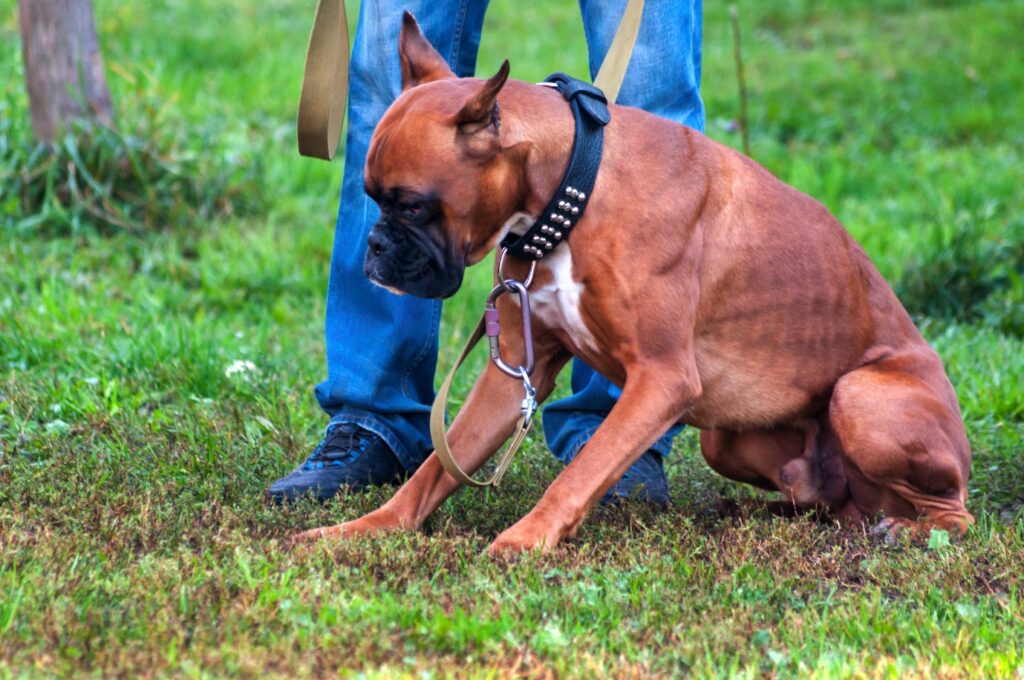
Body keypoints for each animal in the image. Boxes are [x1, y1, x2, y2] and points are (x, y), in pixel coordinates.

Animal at [292, 11, 970, 553]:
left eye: (412, 205)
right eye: (370, 199)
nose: (375, 250)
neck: (573, 190)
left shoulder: (661, 379)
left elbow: (581, 472)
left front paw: (525, 540)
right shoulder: (512, 377)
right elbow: (435, 467)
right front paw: (367, 528)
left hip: (857, 395)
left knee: (949, 514)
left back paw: (906, 529)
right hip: (728, 440)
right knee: (827, 503)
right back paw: (759, 511)